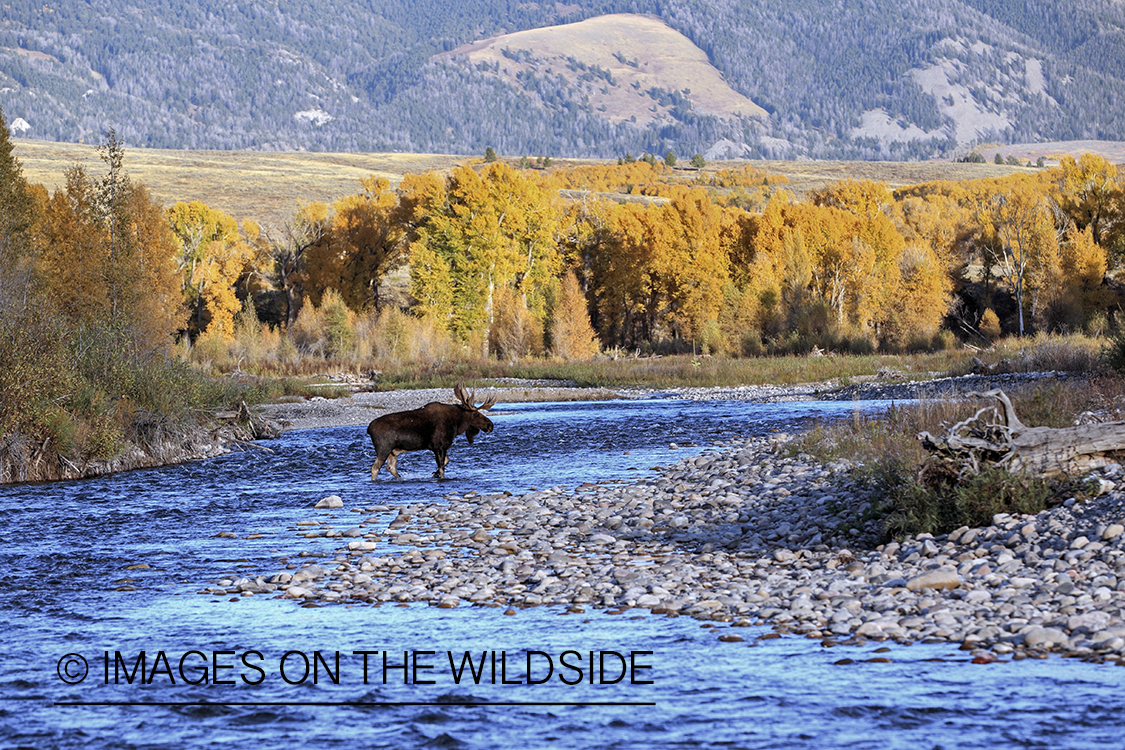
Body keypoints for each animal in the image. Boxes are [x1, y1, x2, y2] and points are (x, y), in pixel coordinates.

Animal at [366, 384, 496, 480]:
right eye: (475, 414)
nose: (490, 425)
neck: (456, 425)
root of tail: (368, 429)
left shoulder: (438, 447)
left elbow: (446, 461)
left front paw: (434, 473)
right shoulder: (439, 447)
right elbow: (442, 468)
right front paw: (438, 475)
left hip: (393, 451)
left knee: (391, 467)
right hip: (383, 449)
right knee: (375, 468)